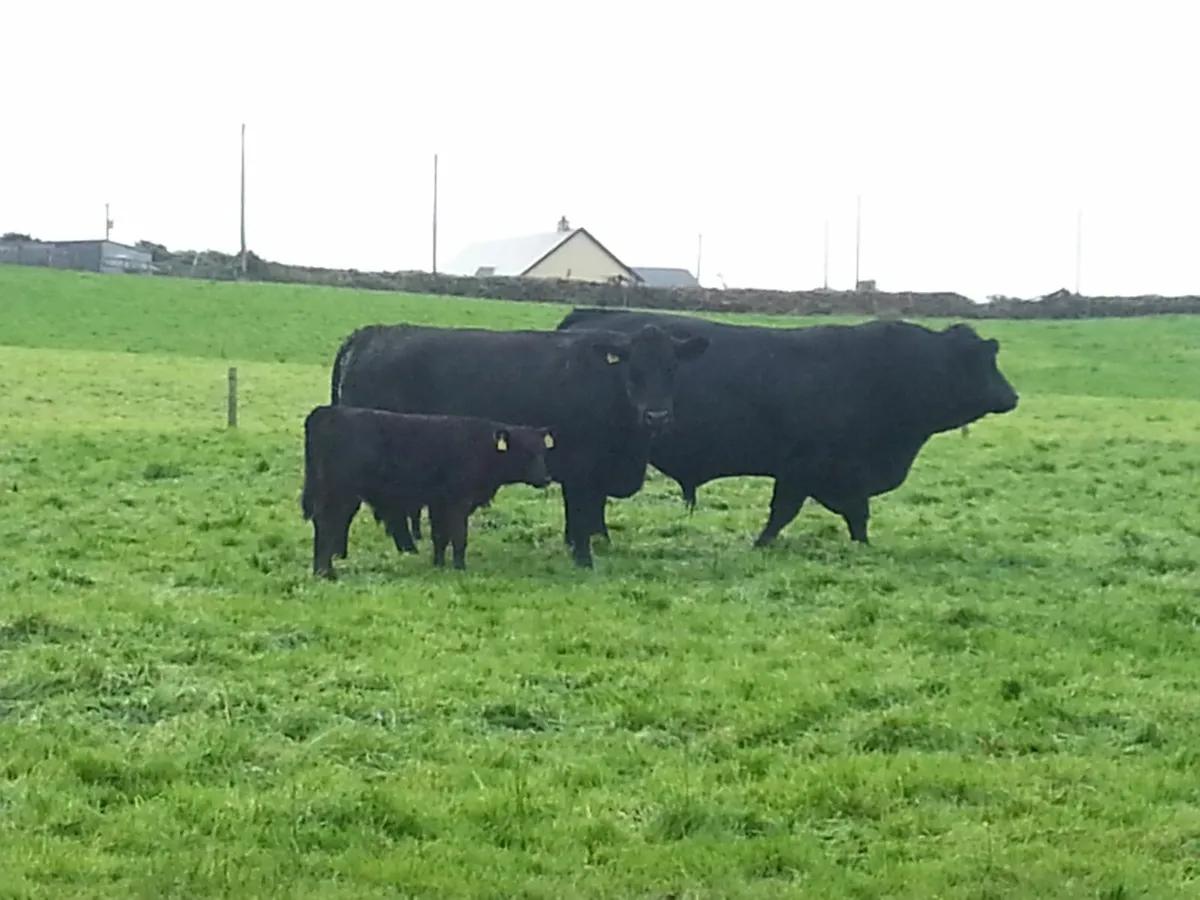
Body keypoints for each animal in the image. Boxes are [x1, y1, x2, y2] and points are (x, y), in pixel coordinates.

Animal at [300, 404, 554, 578]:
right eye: (525, 452)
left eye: (542, 452)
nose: (545, 478)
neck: (480, 447)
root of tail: (327, 412)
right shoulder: (457, 501)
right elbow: (458, 536)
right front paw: (460, 568)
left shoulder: (438, 503)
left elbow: (440, 536)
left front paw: (439, 564)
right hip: (339, 493)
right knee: (328, 525)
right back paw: (326, 572)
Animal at [328, 322, 710, 568]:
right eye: (634, 370)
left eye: (672, 368)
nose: (657, 416)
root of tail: (372, 333)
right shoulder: (581, 467)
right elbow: (582, 512)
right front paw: (583, 558)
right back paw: (406, 547)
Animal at [555, 307, 1019, 548]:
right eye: (983, 361)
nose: (1012, 396)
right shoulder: (808, 467)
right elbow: (793, 512)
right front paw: (763, 544)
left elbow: (849, 514)